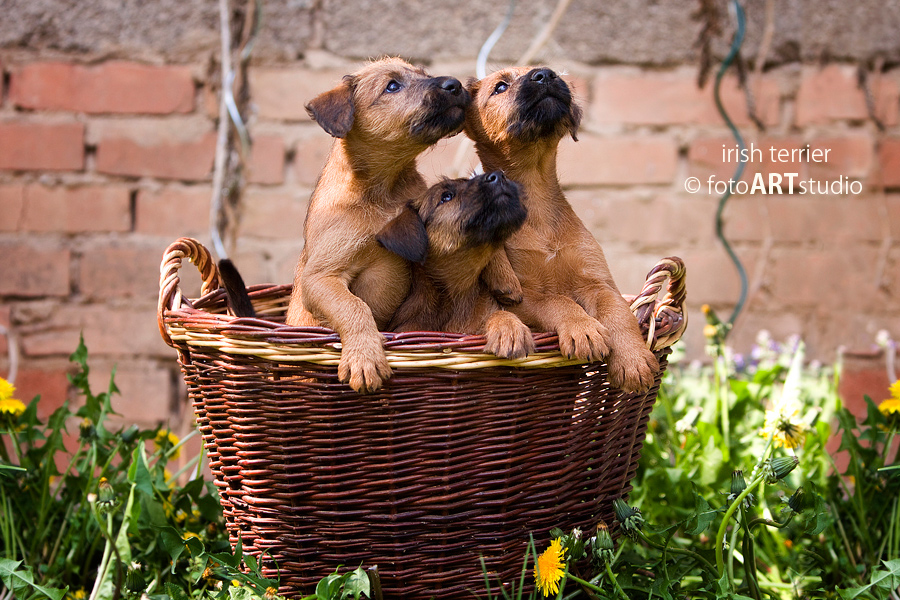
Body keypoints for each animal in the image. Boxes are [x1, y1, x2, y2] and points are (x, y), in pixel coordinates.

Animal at [460, 67, 656, 394]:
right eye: (500, 87)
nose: (544, 74)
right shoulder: (522, 297)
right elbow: (558, 302)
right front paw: (583, 329)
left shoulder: (600, 284)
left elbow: (619, 314)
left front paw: (633, 360)